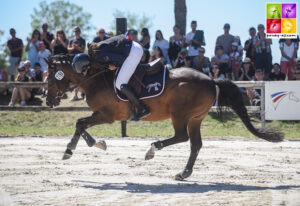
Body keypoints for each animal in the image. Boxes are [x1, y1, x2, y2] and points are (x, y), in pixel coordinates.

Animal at [45, 54, 282, 181]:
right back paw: (184, 173)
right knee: (195, 144)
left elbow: (79, 123)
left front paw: (70, 150)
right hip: (196, 118)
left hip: (180, 114)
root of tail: (211, 79)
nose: (48, 101)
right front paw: (95, 143)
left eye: (50, 77)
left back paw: (152, 149)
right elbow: (81, 125)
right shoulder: (102, 115)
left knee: (181, 137)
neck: (95, 77)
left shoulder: (106, 114)